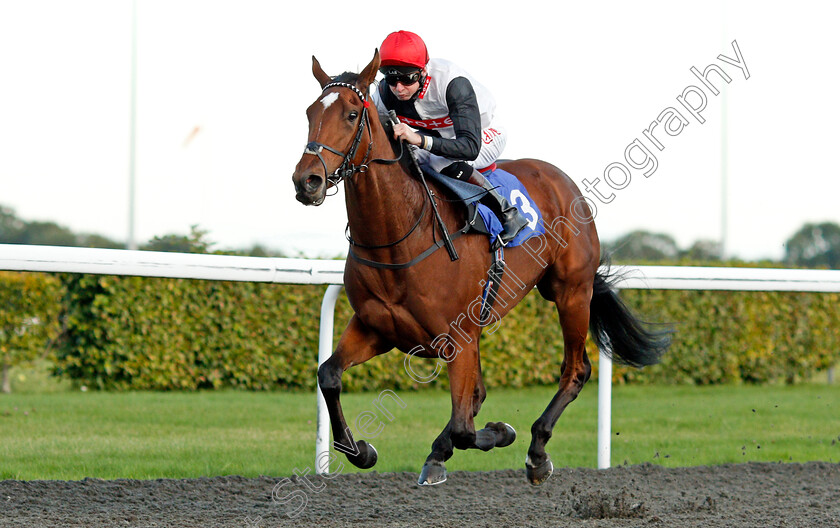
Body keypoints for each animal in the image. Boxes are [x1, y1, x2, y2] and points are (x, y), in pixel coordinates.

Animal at [290, 50, 668, 486]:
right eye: (309, 112)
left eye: (352, 114)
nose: (307, 181)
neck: (399, 236)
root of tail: (560, 178)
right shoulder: (376, 327)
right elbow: (329, 375)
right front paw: (362, 451)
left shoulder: (458, 338)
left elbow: (464, 428)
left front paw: (501, 432)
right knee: (479, 394)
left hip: (571, 291)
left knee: (575, 370)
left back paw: (537, 452)